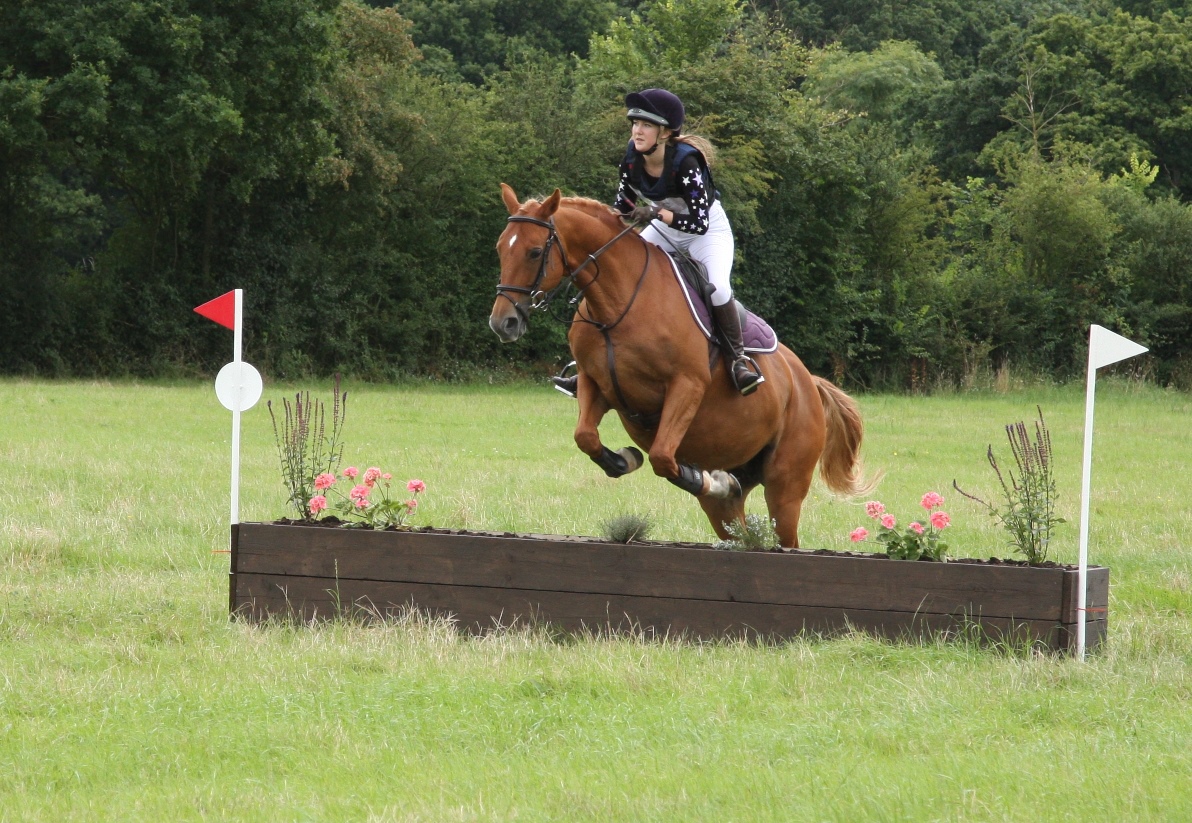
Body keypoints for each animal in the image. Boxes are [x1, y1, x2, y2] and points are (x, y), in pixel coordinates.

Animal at [489, 184, 872, 548]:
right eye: (500, 249)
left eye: (534, 252)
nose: (502, 323)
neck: (617, 304)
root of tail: (808, 382)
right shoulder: (594, 382)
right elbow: (585, 437)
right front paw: (624, 460)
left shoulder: (686, 386)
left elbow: (662, 456)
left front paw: (706, 479)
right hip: (736, 494)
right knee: (740, 527)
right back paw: (724, 485)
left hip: (785, 484)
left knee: (784, 535)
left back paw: (719, 477)